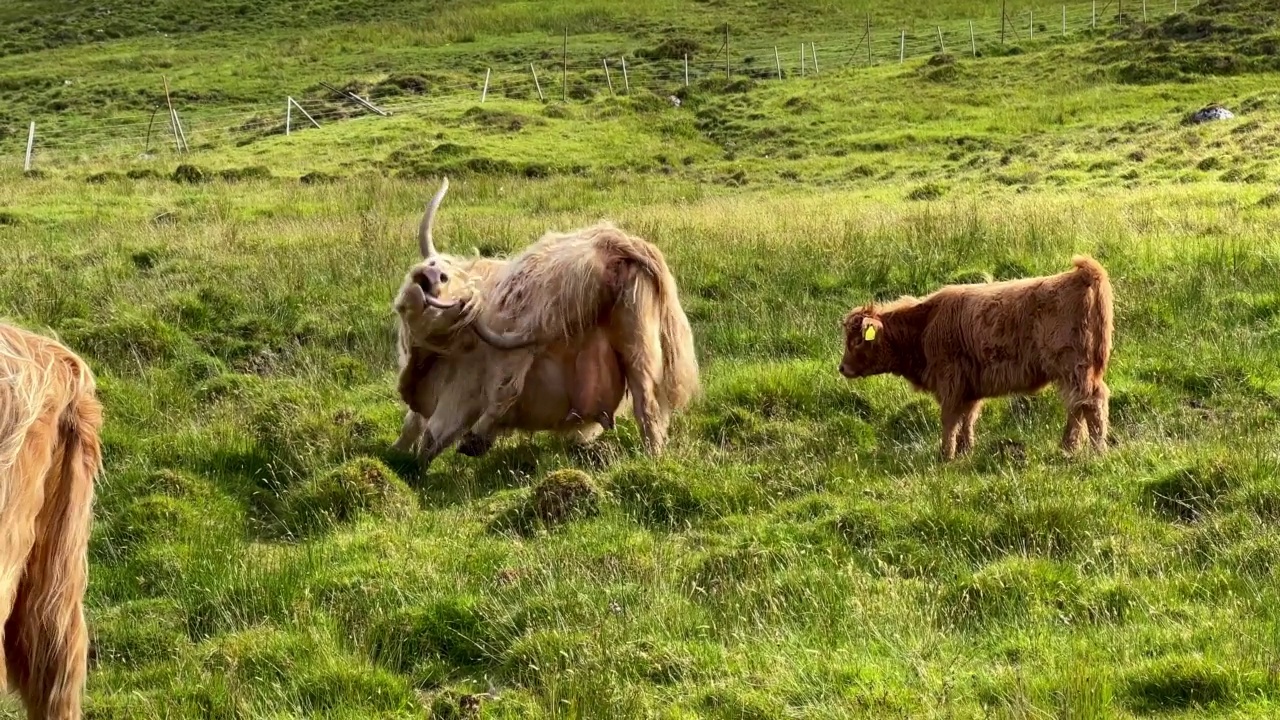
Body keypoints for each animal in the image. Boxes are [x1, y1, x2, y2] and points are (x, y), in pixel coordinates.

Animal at [391, 176, 701, 461]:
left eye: (451, 278)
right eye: (433, 266)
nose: (431, 275)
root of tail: (615, 244)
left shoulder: (458, 393)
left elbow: (430, 435)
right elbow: (415, 427)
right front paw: (397, 454)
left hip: (544, 312)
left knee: (511, 381)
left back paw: (477, 438)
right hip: (637, 341)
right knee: (647, 403)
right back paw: (654, 457)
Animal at [839, 256, 1111, 458]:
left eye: (857, 341)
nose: (842, 368)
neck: (925, 325)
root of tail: (1079, 275)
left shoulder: (950, 381)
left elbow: (950, 419)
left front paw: (946, 455)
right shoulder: (969, 385)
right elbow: (968, 418)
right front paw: (965, 450)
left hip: (1073, 366)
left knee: (1090, 402)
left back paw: (1096, 450)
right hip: (1076, 372)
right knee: (1077, 405)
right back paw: (1068, 448)